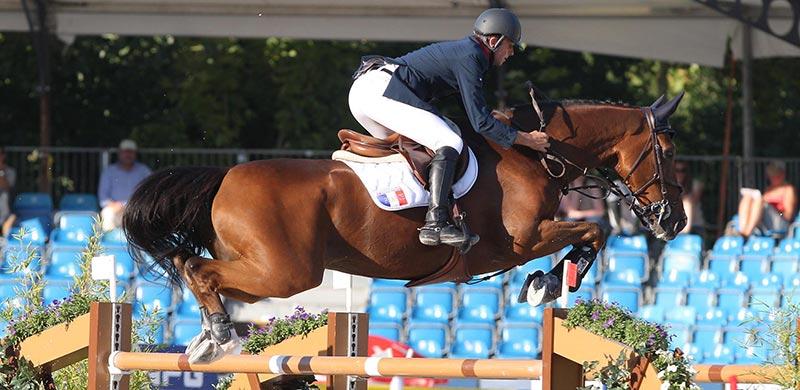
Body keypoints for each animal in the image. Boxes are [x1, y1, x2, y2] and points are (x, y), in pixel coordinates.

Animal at [123, 92, 688, 362]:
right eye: (668, 151)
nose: (675, 221)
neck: (534, 156)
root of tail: (224, 176)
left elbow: (593, 233)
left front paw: (545, 282)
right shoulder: (521, 241)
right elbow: (594, 234)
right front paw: (547, 283)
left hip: (268, 270)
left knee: (191, 264)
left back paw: (205, 338)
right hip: (286, 273)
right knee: (199, 268)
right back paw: (219, 334)